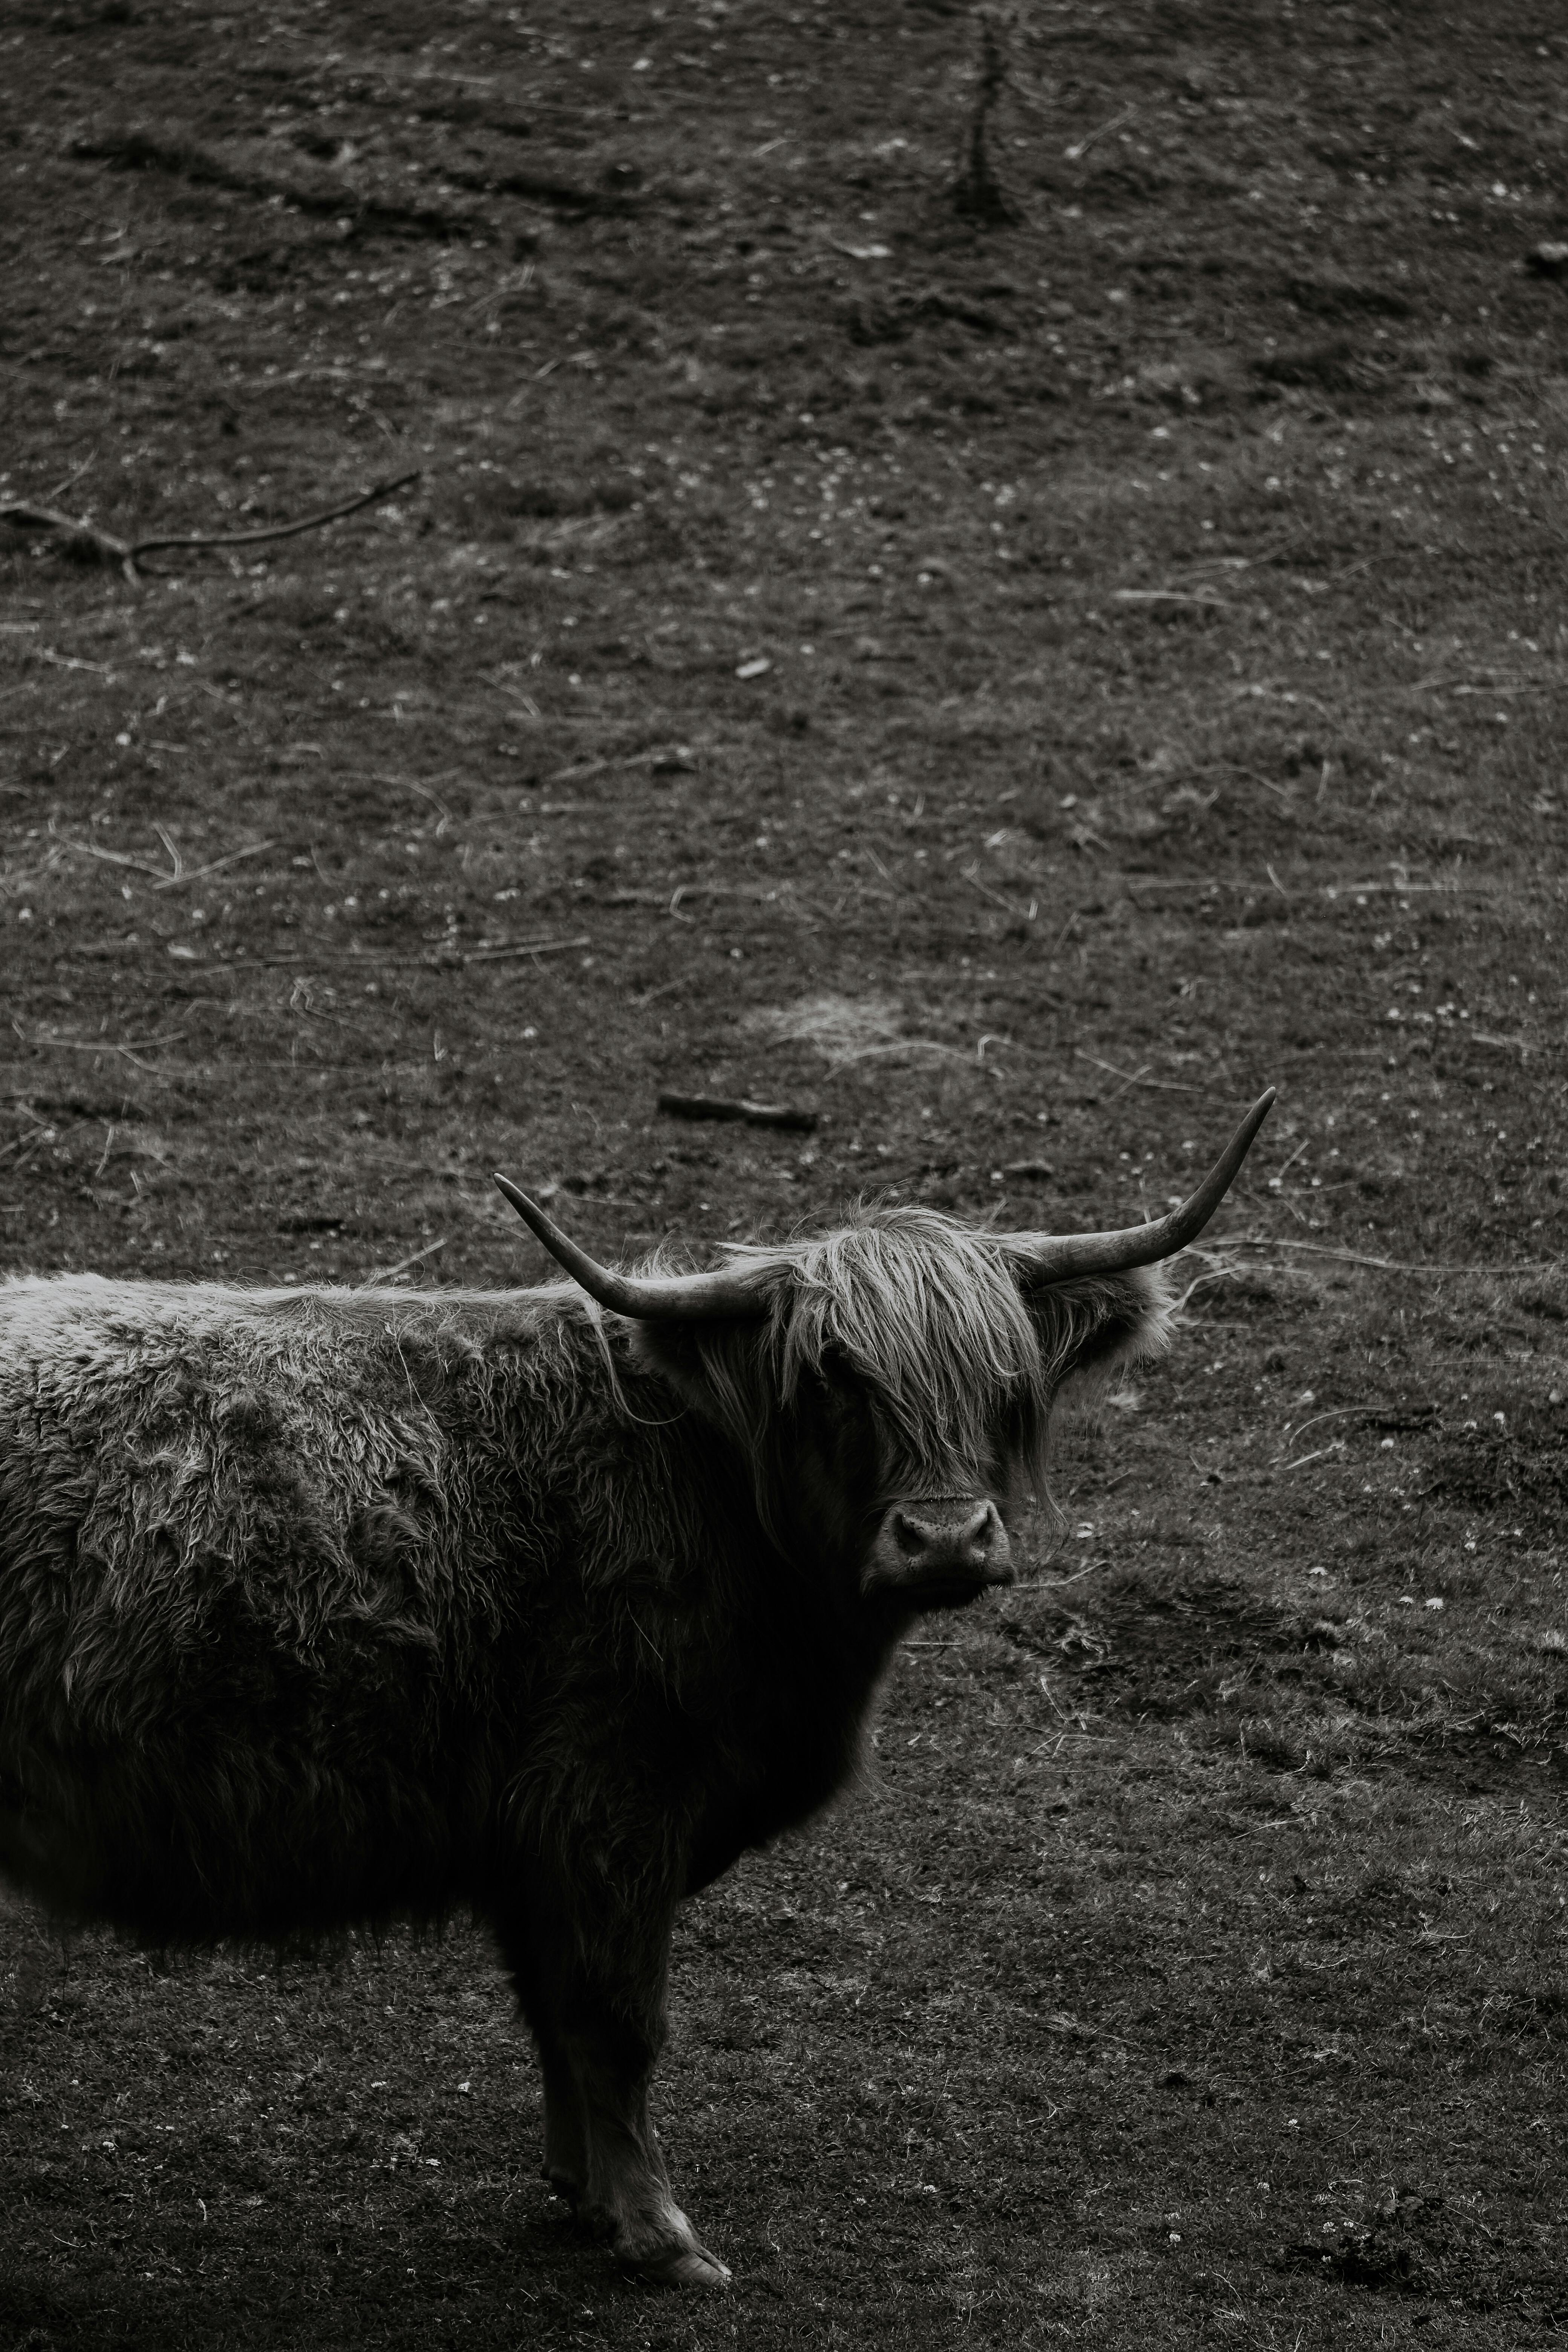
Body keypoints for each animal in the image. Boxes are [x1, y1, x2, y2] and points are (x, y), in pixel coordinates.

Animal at [0, 1089, 1272, 2287]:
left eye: (1008, 1375)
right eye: (834, 1374)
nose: (946, 1539)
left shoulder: (536, 1840)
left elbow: (556, 2017)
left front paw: (581, 2193)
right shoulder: (606, 1804)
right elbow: (617, 2021)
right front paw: (659, 2233)